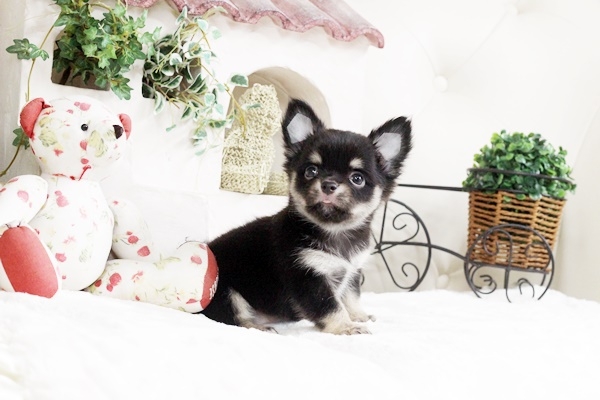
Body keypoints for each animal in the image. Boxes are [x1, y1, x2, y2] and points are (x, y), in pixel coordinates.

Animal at [201, 99, 412, 335]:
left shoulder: (351, 271)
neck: (336, 231)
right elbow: (330, 305)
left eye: (357, 178)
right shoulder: (307, 276)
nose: (328, 184)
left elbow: (351, 296)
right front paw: (345, 326)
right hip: (224, 291)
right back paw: (256, 326)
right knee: (231, 316)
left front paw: (358, 315)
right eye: (311, 171)